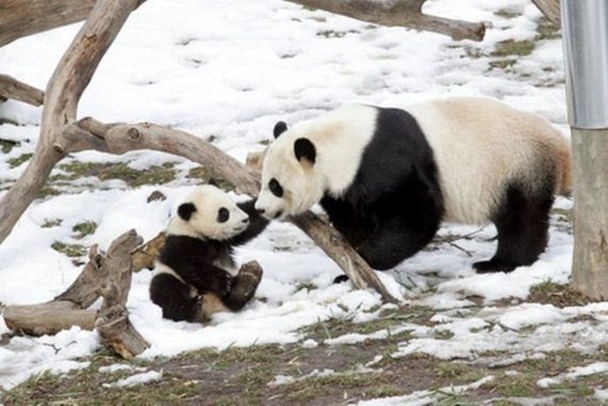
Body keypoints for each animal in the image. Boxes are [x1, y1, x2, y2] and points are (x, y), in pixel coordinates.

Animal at [150, 185, 268, 324]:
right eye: (224, 213)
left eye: (234, 205)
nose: (245, 219)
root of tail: (210, 307)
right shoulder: (181, 241)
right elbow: (188, 264)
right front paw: (223, 282)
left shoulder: (226, 240)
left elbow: (253, 221)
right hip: (168, 275)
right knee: (167, 291)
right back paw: (192, 307)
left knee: (233, 301)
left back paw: (247, 280)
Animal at [254, 96, 572, 272]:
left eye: (275, 185)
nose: (260, 209)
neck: (336, 141)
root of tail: (559, 144)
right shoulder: (347, 183)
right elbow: (353, 219)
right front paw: (353, 255)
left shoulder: (384, 161)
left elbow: (416, 217)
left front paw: (365, 261)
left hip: (516, 166)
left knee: (521, 217)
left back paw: (502, 263)